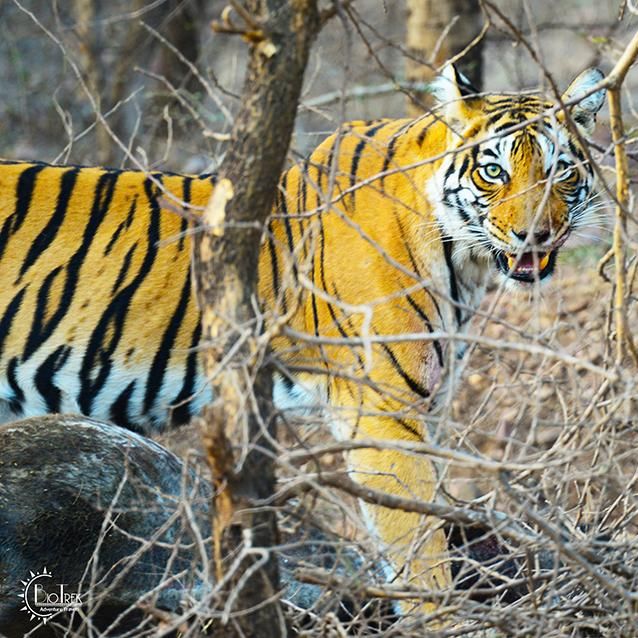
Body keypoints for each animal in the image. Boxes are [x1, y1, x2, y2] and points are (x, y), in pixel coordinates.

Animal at [0, 65, 605, 612]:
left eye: (559, 172)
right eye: (492, 172)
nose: (535, 235)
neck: (463, 261)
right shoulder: (385, 414)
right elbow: (418, 548)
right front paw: (442, 619)